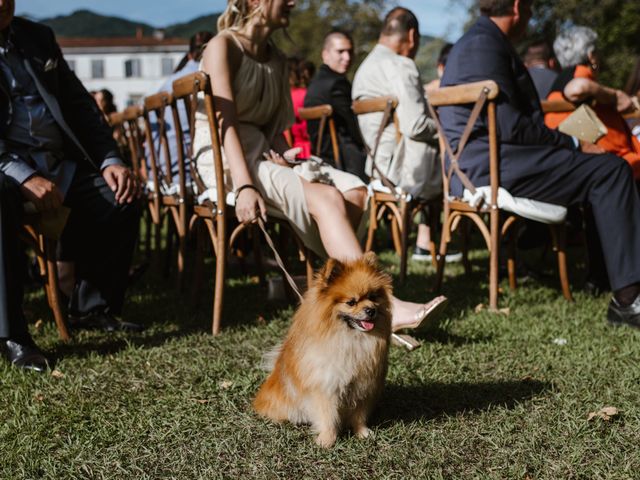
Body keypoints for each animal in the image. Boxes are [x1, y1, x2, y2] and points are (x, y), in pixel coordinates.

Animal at [252, 253, 392, 448]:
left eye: (373, 297)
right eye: (351, 302)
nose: (371, 310)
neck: (351, 339)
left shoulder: (363, 385)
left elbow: (359, 414)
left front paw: (362, 432)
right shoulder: (326, 387)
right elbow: (328, 416)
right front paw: (327, 440)